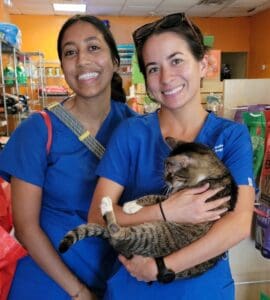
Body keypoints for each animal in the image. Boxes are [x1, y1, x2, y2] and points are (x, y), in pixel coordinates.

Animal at [58, 138, 236, 278]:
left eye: (171, 173)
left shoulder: (183, 194)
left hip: (147, 236)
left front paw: (131, 205)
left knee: (117, 232)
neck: (215, 173)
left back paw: (107, 205)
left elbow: (156, 197)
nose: (165, 180)